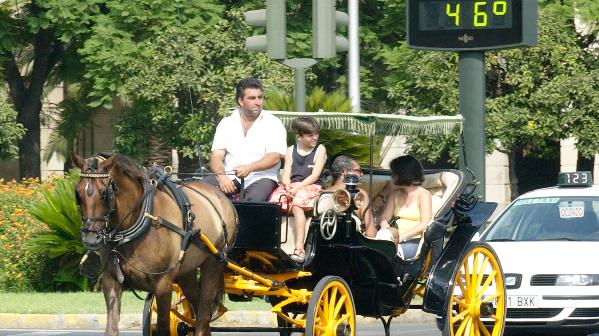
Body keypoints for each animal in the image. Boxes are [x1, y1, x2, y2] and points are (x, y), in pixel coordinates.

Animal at [71, 153, 238, 336]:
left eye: (104, 193)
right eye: (77, 193)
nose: (90, 238)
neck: (139, 219)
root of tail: (220, 195)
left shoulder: (163, 284)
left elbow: (163, 327)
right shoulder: (111, 280)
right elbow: (111, 327)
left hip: (214, 261)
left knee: (204, 309)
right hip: (186, 271)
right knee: (198, 303)